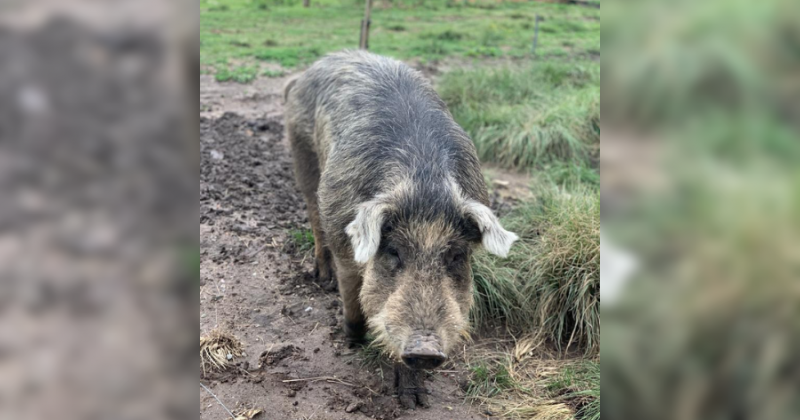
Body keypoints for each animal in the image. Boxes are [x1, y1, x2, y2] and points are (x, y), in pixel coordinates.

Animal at [282, 50, 520, 408]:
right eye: (393, 251)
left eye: (456, 256)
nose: (425, 349)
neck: (423, 185)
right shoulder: (343, 236)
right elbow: (354, 291)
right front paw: (352, 338)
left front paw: (415, 401)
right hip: (303, 155)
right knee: (312, 212)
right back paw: (322, 279)